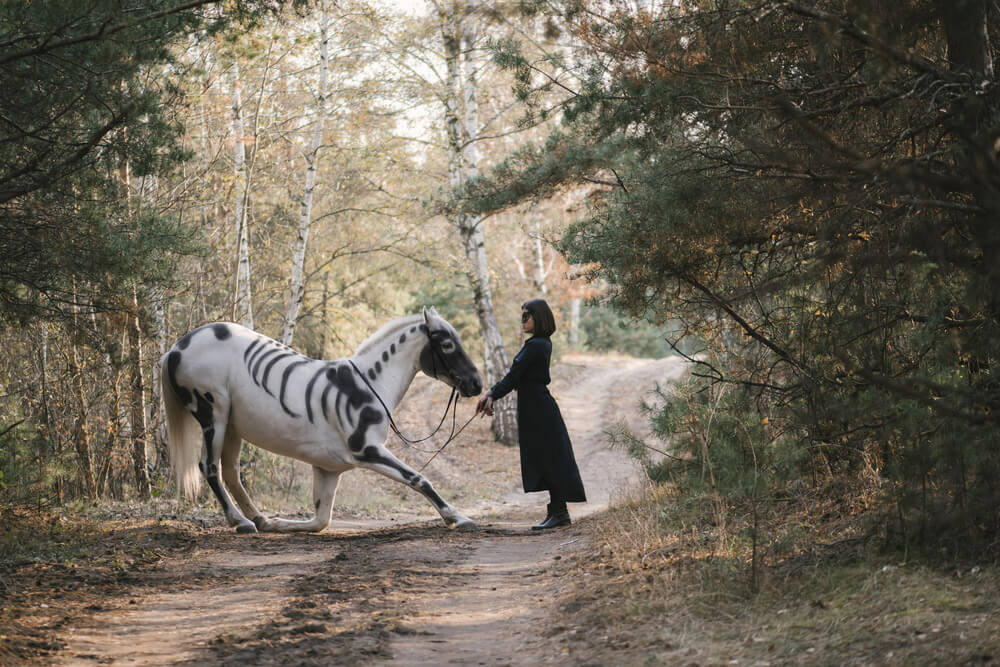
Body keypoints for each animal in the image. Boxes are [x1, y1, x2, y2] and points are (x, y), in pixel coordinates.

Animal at [159, 310, 480, 536]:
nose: (477, 384)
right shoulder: (367, 450)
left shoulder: (328, 468)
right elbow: (418, 479)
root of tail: (176, 348)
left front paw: (279, 524)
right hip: (214, 415)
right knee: (210, 468)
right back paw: (240, 522)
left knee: (231, 473)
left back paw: (259, 519)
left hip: (232, 427)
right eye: (447, 344)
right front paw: (458, 518)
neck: (369, 385)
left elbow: (320, 520)